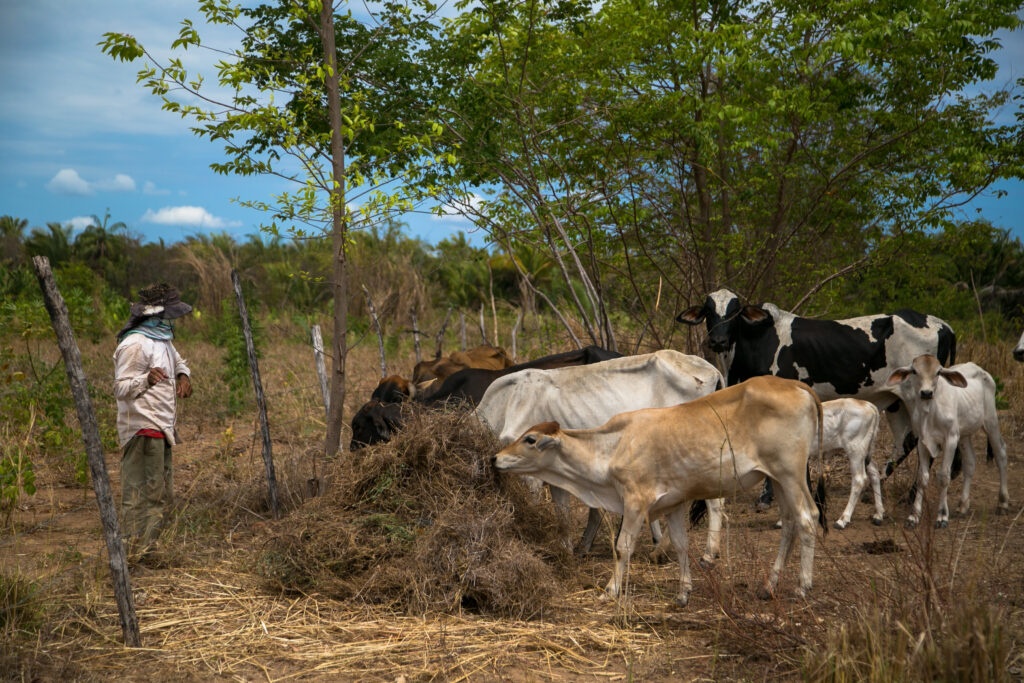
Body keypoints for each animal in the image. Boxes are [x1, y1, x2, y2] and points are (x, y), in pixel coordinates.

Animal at [473, 352, 720, 557]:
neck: (506, 403)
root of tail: (711, 370)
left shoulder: (530, 476)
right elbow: (563, 512)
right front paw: (566, 549)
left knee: (713, 499)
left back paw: (704, 554)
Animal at [491, 376, 827, 606]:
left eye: (530, 439)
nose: (495, 457)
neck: (613, 447)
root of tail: (797, 385)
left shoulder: (635, 501)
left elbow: (623, 546)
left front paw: (610, 590)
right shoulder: (674, 503)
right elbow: (679, 545)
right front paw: (683, 592)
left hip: (790, 473)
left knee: (808, 518)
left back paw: (803, 585)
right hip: (778, 480)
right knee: (790, 523)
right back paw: (769, 585)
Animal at [675, 288, 954, 507]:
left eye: (736, 312)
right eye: (709, 312)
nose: (718, 340)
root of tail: (944, 325)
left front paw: (767, 497)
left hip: (918, 398)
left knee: (923, 442)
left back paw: (909, 495)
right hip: (895, 402)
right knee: (906, 442)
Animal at [884, 356, 1011, 528]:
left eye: (938, 372)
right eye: (914, 371)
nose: (926, 393)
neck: (930, 411)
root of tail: (979, 368)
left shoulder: (950, 439)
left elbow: (944, 476)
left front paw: (942, 516)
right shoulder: (922, 442)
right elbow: (922, 478)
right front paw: (914, 516)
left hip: (990, 421)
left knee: (1001, 454)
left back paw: (1003, 503)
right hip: (963, 435)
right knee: (970, 462)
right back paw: (963, 505)